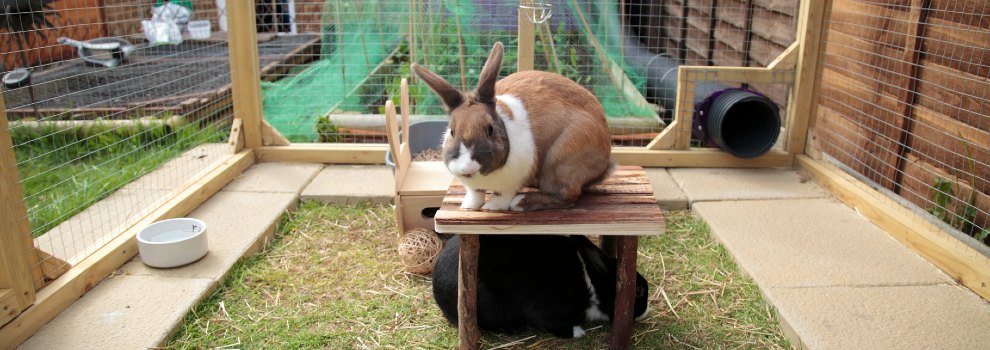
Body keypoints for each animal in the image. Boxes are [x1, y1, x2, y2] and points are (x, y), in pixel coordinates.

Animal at [410, 41, 612, 211]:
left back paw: (521, 202)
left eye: (490, 130)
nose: (468, 168)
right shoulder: (474, 187)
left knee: (565, 196)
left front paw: (492, 208)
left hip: (561, 162)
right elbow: (475, 193)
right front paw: (468, 206)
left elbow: (503, 196)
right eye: (452, 131)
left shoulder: (512, 182)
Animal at [434, 234, 652, 338]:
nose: (646, 310)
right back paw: (515, 328)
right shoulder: (546, 311)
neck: (592, 284)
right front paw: (578, 333)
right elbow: (553, 325)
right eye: (639, 291)